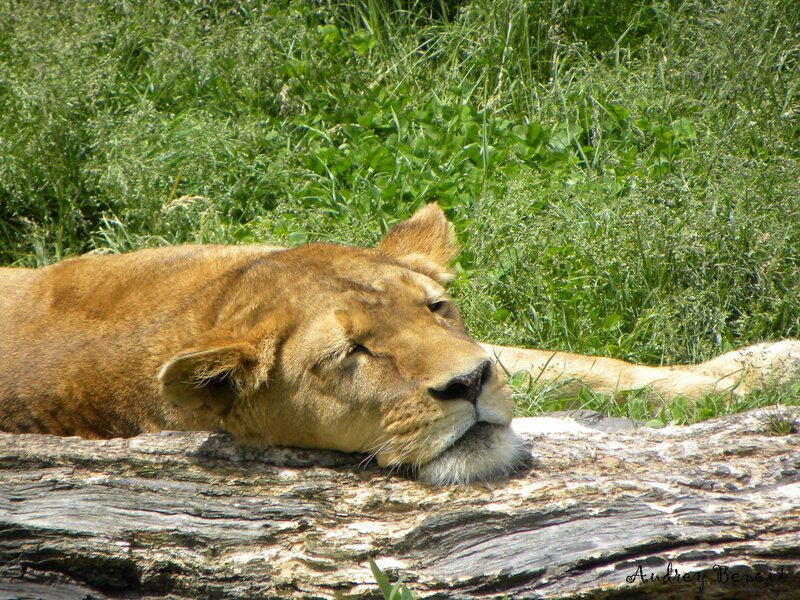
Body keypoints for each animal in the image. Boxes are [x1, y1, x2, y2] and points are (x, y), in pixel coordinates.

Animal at [0, 204, 797, 485]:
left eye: (437, 309)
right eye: (351, 355)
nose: (468, 384)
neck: (204, 302)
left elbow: (576, 364)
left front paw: (762, 368)